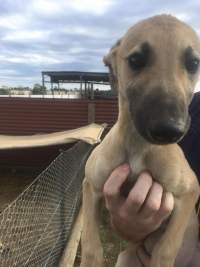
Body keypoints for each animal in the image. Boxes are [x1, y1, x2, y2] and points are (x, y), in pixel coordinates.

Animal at [80, 14, 200, 267]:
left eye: (193, 63)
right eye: (136, 60)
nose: (169, 130)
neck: (138, 146)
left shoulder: (189, 190)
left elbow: (166, 249)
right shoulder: (91, 185)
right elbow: (91, 246)